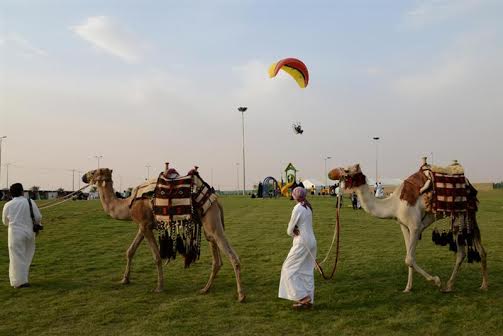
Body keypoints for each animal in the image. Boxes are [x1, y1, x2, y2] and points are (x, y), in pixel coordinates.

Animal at [82, 168, 246, 302]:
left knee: (233, 257)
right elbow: (130, 251)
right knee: (217, 259)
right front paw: (124, 280)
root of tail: (216, 201)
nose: (83, 176)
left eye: (94, 171)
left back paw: (241, 295)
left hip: (212, 222)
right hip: (208, 227)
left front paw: (159, 287)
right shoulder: (143, 227)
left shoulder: (145, 225)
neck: (127, 206)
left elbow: (157, 257)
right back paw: (205, 289)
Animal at [326, 162, 488, 292]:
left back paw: (477, 285)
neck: (393, 205)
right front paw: (408, 288)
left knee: (468, 250)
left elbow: (409, 259)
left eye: (346, 170)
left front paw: (436, 281)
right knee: (469, 250)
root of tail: (468, 183)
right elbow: (410, 257)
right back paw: (457, 285)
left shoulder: (415, 225)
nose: (330, 173)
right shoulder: (404, 226)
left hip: (464, 213)